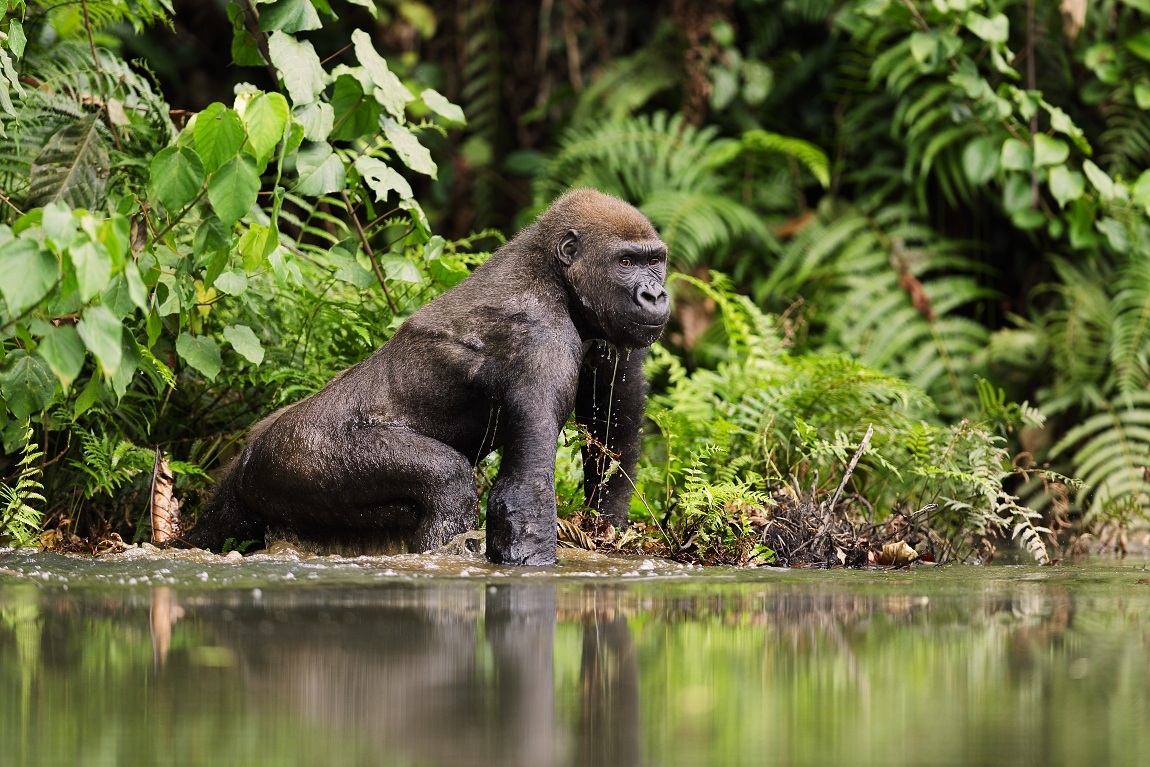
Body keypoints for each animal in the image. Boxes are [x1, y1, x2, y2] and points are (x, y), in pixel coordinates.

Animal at [185, 188, 670, 566]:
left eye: (655, 261)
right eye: (626, 261)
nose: (656, 294)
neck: (553, 271)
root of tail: (247, 455)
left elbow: (612, 425)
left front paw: (606, 527)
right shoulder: (541, 340)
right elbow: (523, 496)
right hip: (296, 457)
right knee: (448, 483)